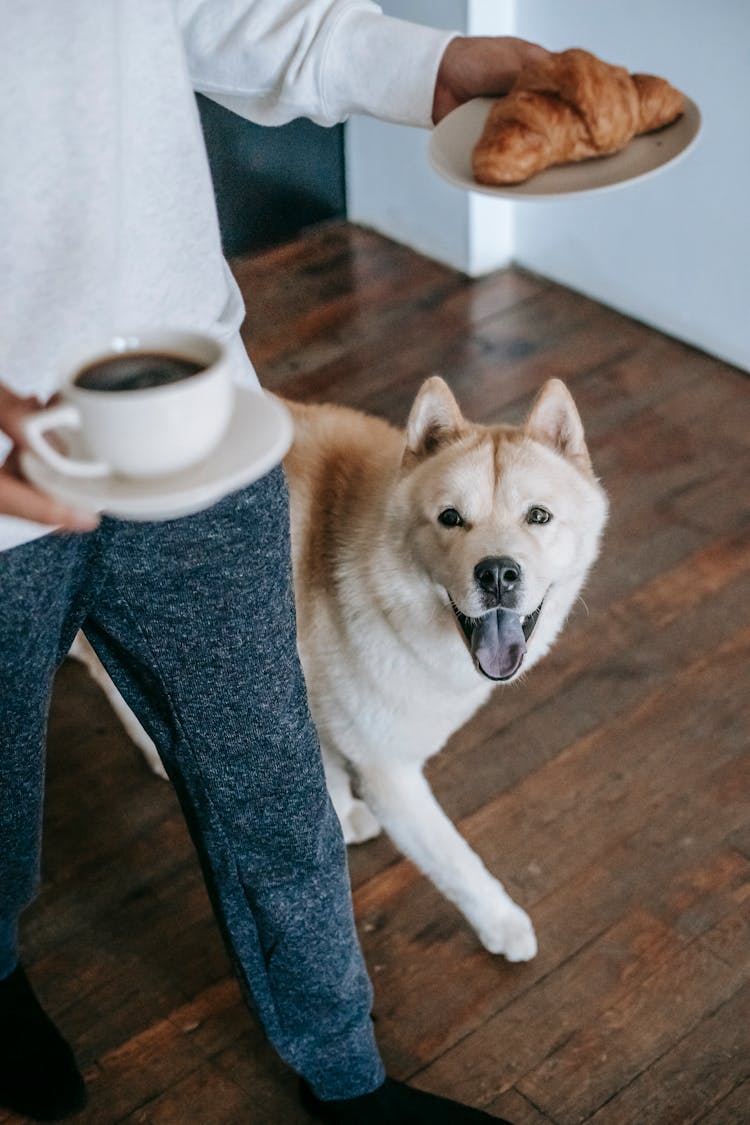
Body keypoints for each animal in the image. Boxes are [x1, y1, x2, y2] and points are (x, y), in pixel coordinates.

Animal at [70, 375, 611, 958]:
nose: (497, 575)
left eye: (539, 516)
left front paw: (341, 807)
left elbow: (324, 758)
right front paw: (501, 921)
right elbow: (454, 859)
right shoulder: (387, 769)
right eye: (450, 518)